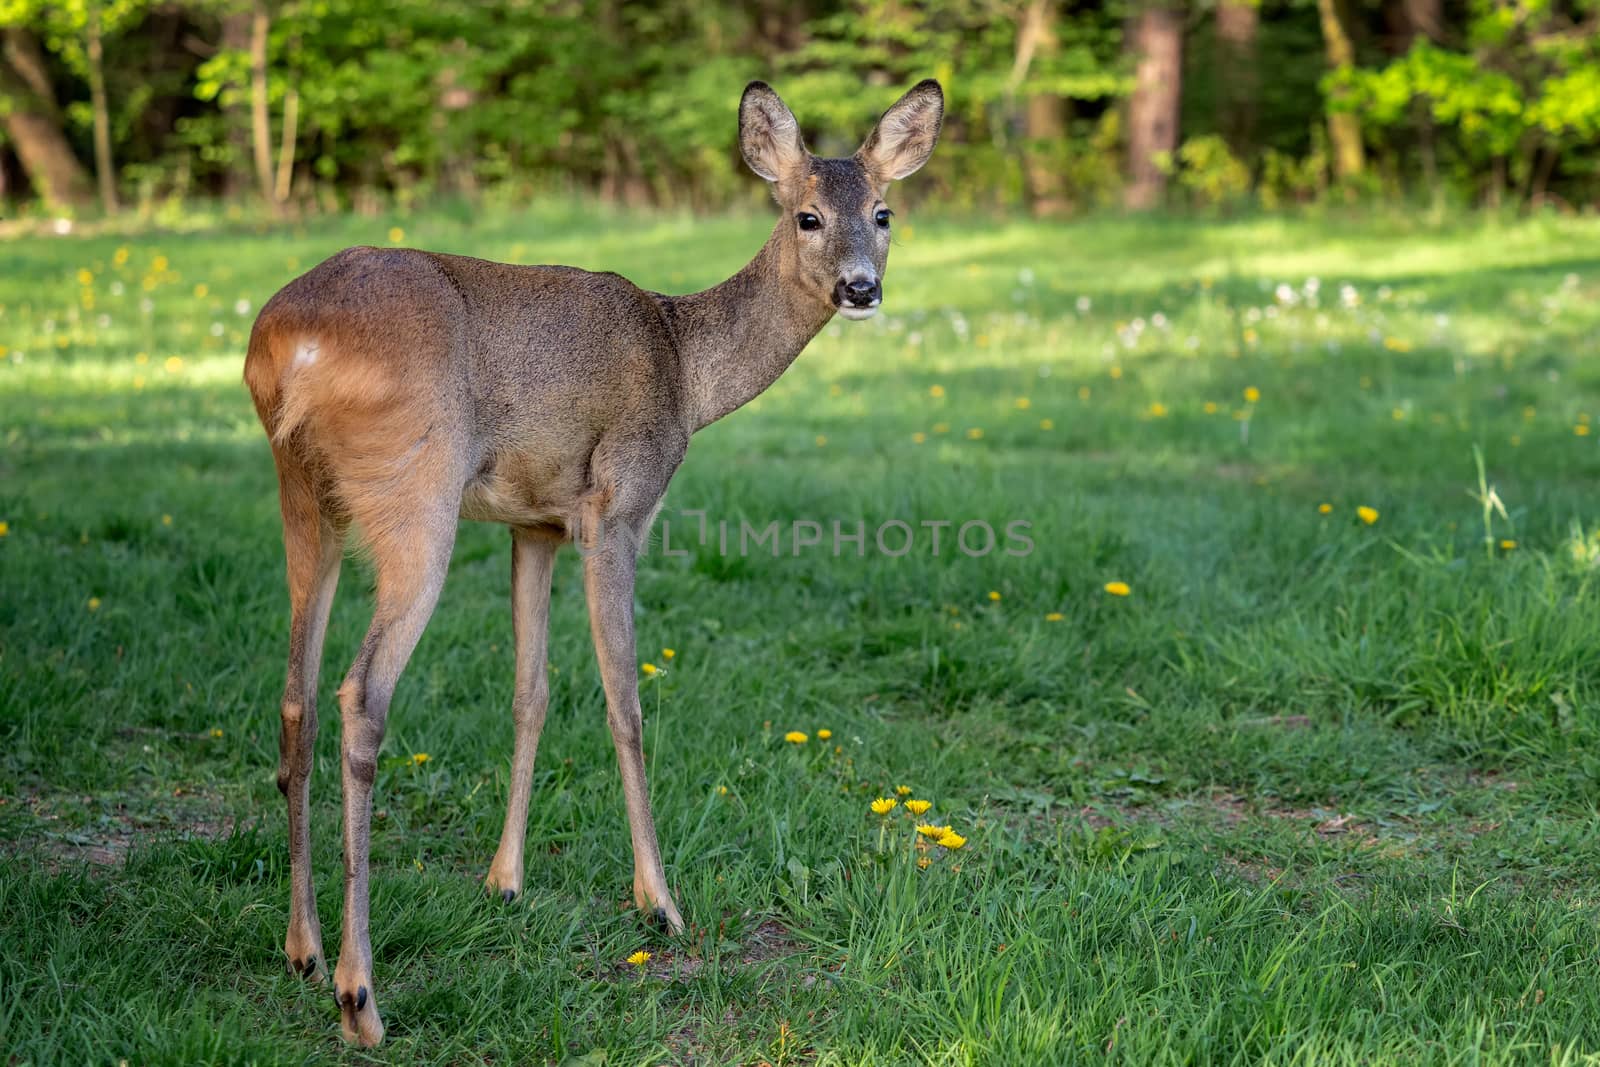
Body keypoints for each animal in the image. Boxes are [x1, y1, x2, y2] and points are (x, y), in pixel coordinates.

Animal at [243, 81, 940, 1043]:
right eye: (806, 215)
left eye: (883, 211)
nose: (860, 286)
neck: (687, 367)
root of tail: (287, 341)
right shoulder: (616, 508)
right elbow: (626, 702)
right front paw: (660, 900)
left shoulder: (533, 521)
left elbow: (531, 692)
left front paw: (504, 880)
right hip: (414, 491)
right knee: (360, 693)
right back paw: (360, 996)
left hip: (305, 498)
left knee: (296, 694)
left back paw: (302, 949)